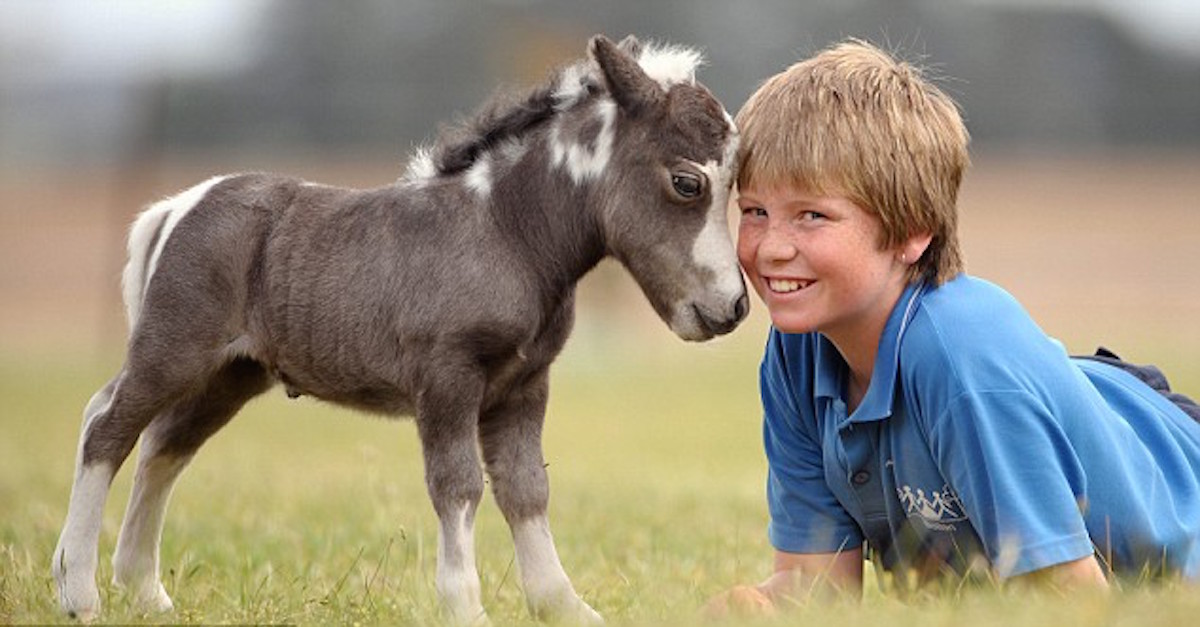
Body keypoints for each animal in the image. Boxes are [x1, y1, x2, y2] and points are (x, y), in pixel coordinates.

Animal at [52, 34, 747, 624]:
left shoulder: (524, 385)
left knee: (164, 447)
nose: (733, 307)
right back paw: (79, 591)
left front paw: (563, 606)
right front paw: (465, 607)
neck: (506, 233)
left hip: (232, 375)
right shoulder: (448, 377)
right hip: (173, 350)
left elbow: (527, 488)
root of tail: (179, 206)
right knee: (106, 426)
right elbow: (459, 485)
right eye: (687, 182)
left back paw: (145, 592)